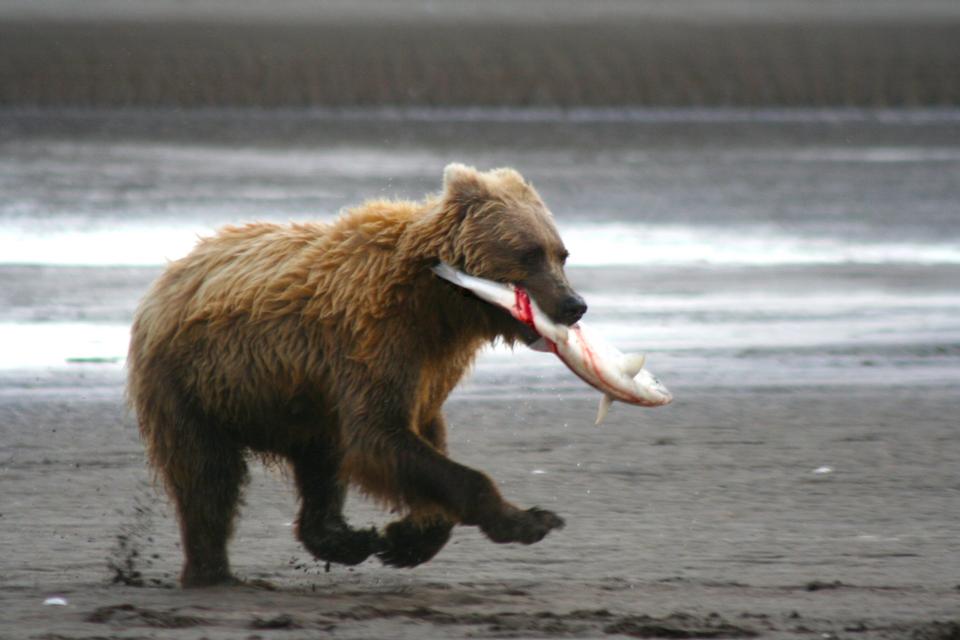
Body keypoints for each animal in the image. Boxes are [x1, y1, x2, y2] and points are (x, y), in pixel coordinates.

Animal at [127, 164, 588, 584]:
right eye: (529, 252)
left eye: (561, 253)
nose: (574, 304)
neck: (441, 305)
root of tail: (171, 272)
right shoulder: (377, 337)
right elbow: (379, 435)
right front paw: (531, 520)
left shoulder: (429, 367)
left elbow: (420, 434)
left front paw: (405, 539)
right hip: (192, 384)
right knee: (207, 479)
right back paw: (213, 571)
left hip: (298, 402)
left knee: (320, 466)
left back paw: (345, 539)